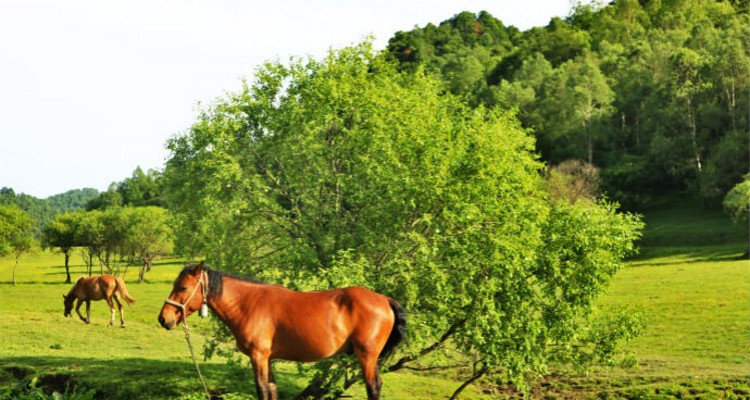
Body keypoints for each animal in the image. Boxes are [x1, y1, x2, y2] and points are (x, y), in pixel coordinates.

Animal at [156, 262, 408, 400]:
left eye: (183, 287)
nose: (163, 318)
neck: (248, 303)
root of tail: (385, 300)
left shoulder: (258, 356)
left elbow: (262, 390)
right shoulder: (267, 358)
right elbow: (272, 391)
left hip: (367, 355)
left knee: (373, 387)